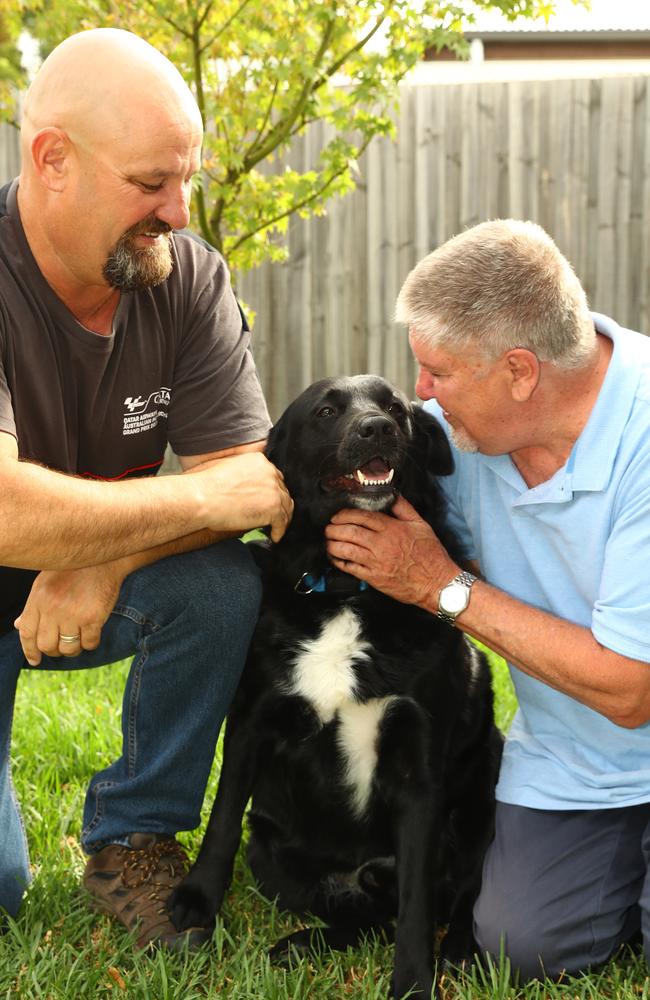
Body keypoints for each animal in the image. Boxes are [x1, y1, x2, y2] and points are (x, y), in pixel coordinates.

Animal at [168, 376, 502, 1000]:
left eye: (396, 407)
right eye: (326, 412)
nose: (379, 429)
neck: (346, 590)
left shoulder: (419, 766)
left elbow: (418, 903)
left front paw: (413, 980)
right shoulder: (251, 722)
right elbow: (220, 819)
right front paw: (198, 900)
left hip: (484, 780)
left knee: (459, 893)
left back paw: (459, 949)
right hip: (272, 850)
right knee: (365, 915)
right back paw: (301, 943)